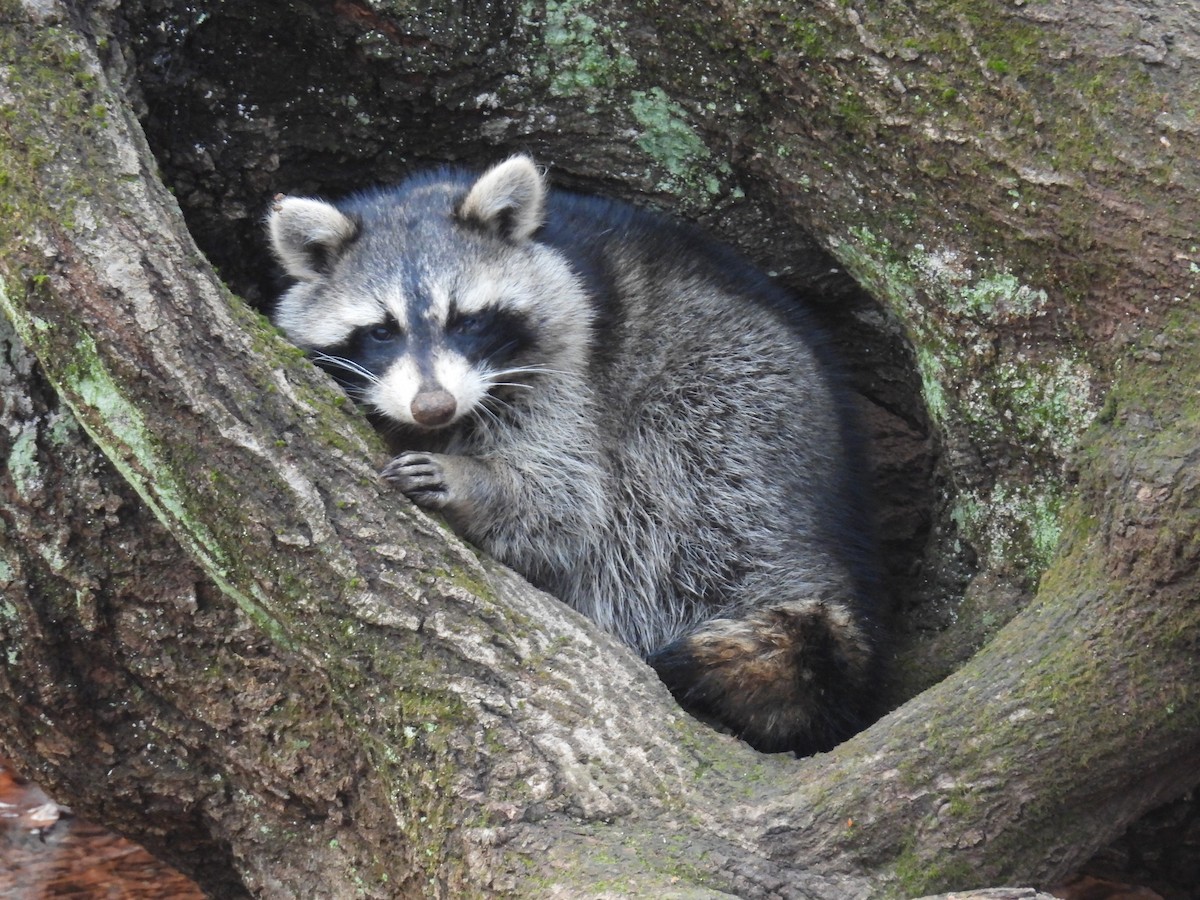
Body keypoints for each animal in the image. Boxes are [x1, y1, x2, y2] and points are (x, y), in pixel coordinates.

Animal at [267, 155, 880, 755]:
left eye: (466, 321)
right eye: (381, 332)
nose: (433, 407)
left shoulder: (574, 362)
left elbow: (565, 501)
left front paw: (473, 481)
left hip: (740, 410)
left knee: (673, 506)